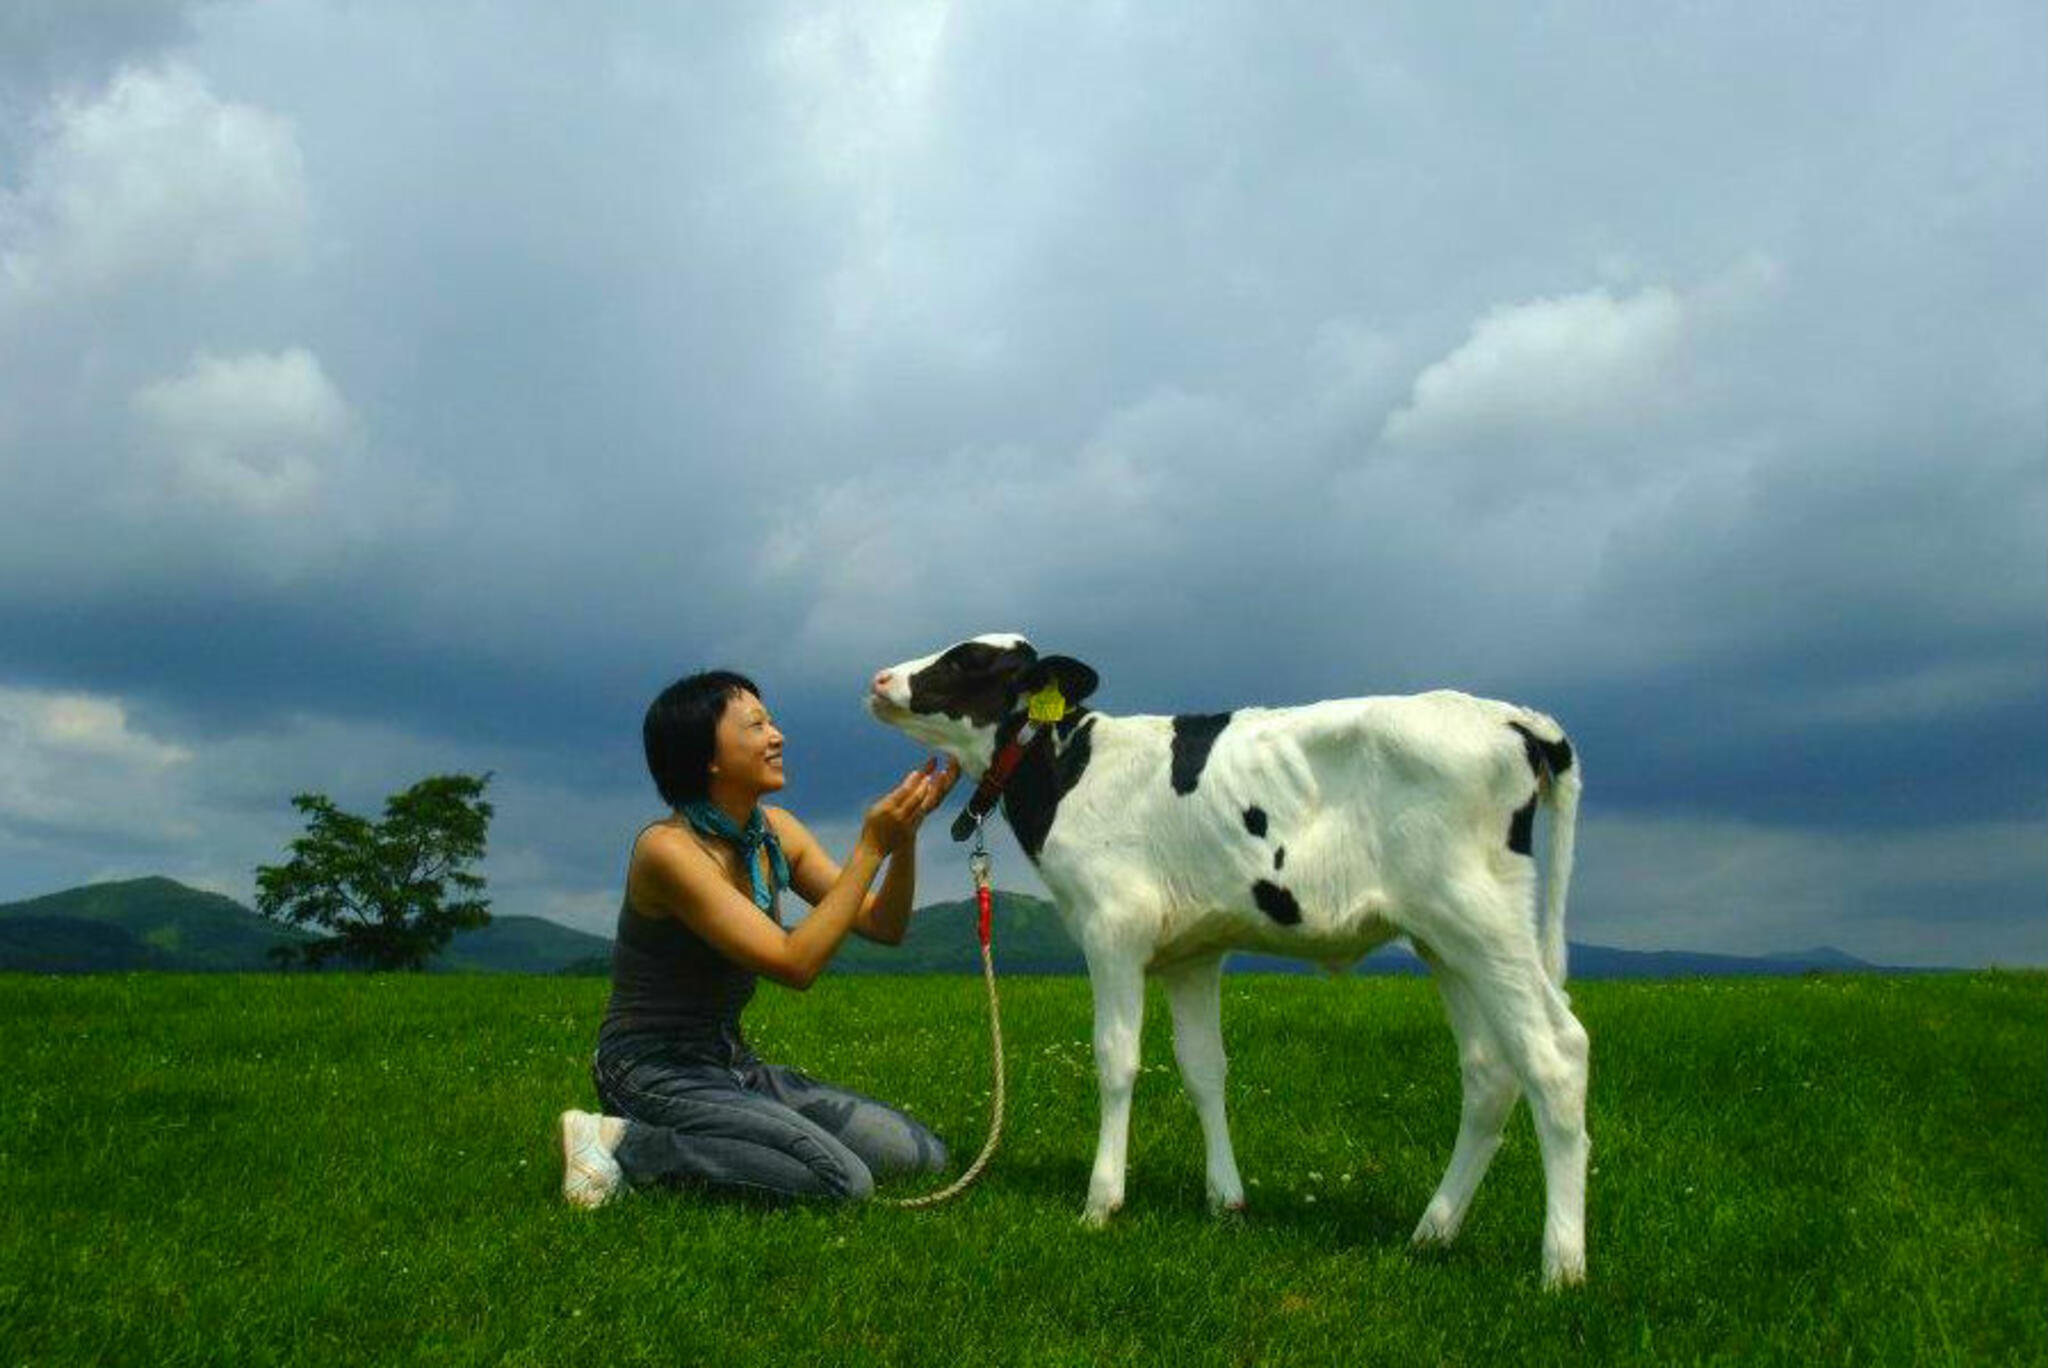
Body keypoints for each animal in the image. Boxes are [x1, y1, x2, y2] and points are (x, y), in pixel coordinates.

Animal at [864, 630, 1597, 1286]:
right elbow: (1203, 1069)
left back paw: (1561, 1266)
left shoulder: (1112, 927)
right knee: (1491, 1071)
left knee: (1556, 1053)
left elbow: (1116, 1059)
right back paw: (1433, 1232)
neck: (1070, 770)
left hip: (1481, 919)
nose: (879, 679)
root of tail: (1512, 717)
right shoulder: (1193, 953)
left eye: (968, 659)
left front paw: (1101, 1201)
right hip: (1445, 941)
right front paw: (1225, 1199)